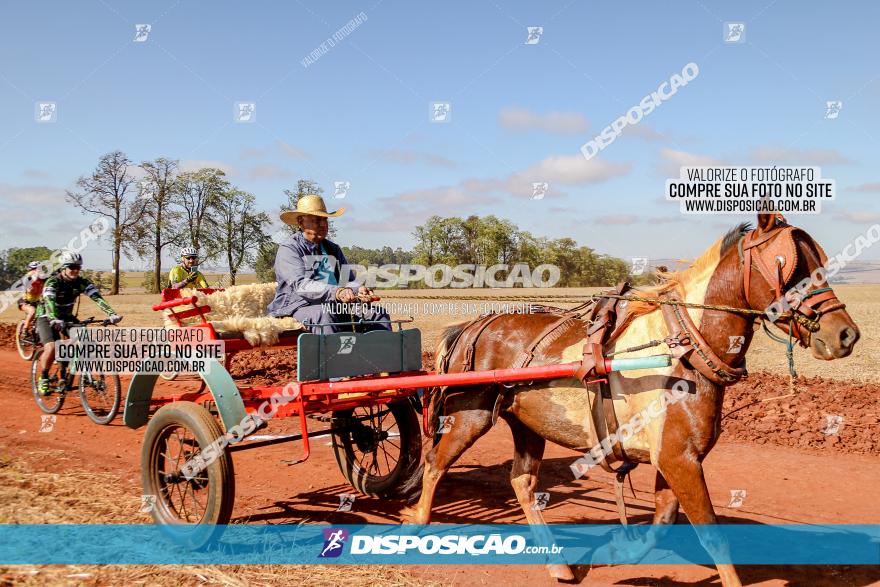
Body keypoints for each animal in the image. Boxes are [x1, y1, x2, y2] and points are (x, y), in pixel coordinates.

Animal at [400, 214, 860, 584]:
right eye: (791, 266)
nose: (846, 334)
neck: (682, 347)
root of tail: (474, 324)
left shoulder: (674, 457)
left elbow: (663, 521)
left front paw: (618, 550)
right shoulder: (677, 458)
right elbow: (712, 536)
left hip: (528, 423)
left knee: (522, 482)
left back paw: (557, 563)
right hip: (472, 414)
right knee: (436, 462)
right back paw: (417, 522)